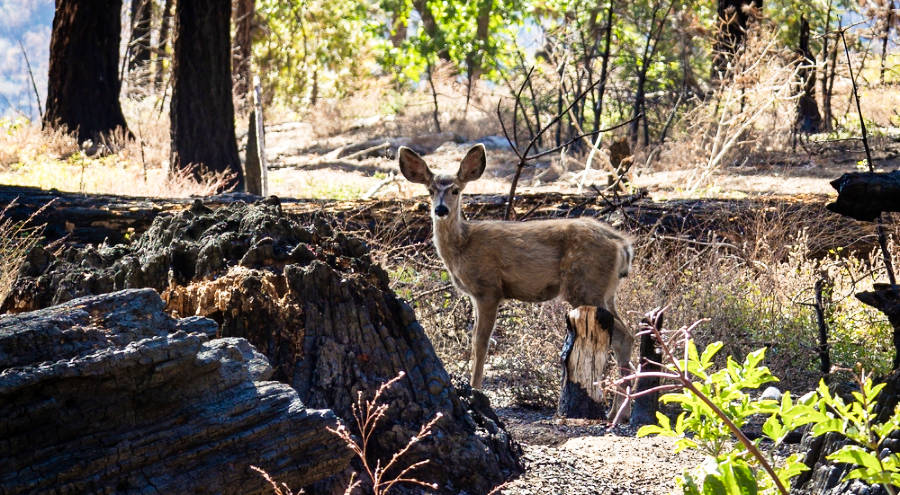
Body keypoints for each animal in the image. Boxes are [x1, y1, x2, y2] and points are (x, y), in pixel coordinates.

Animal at [398, 143, 635, 415]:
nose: (441, 210)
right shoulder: (477, 295)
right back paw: (619, 410)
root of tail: (623, 245)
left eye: (456, 190)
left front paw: (476, 390)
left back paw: (619, 412)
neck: (462, 246)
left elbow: (480, 343)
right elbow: (476, 340)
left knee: (624, 337)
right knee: (624, 336)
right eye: (430, 191)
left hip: (585, 286)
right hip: (606, 292)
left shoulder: (488, 289)